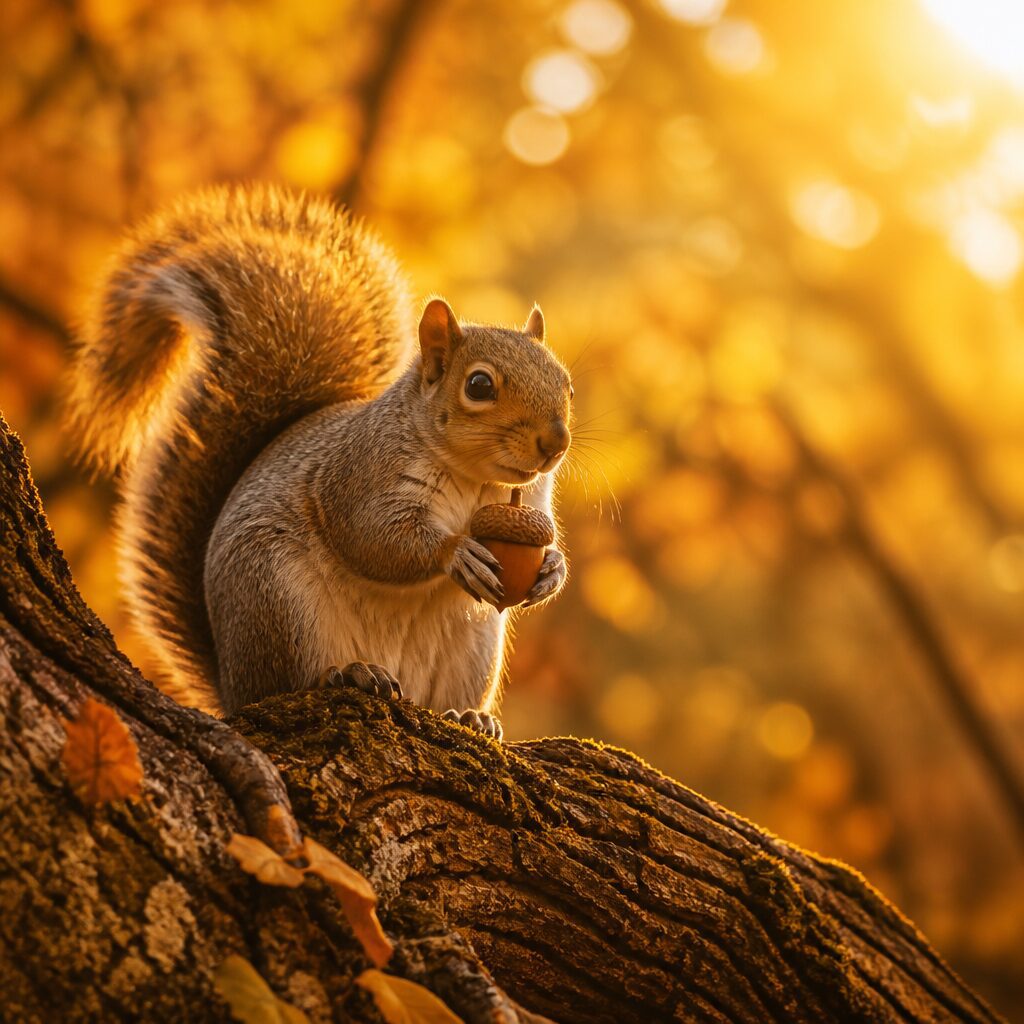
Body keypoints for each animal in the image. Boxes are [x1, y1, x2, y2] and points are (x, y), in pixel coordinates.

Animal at [67, 184, 572, 739]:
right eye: (479, 385)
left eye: (566, 383)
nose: (556, 442)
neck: (474, 479)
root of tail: (231, 684)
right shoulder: (359, 473)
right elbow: (372, 536)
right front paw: (456, 551)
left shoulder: (532, 498)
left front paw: (553, 569)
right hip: (278, 600)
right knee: (292, 681)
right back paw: (349, 674)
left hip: (473, 643)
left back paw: (470, 717)